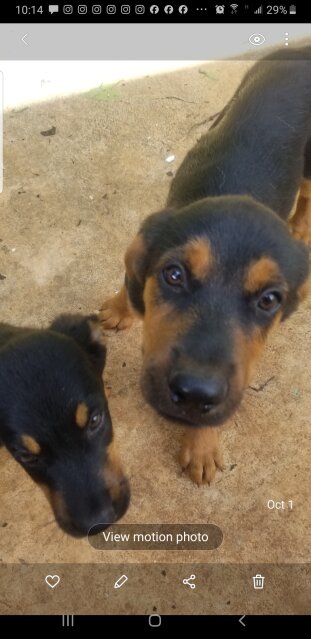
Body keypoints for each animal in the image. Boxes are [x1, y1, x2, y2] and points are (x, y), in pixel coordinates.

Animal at [100, 46, 311, 484]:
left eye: (269, 300)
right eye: (174, 275)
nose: (195, 393)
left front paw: (201, 445)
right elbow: (130, 282)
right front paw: (118, 309)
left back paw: (300, 228)